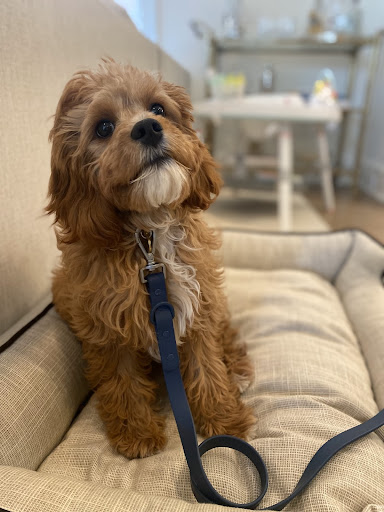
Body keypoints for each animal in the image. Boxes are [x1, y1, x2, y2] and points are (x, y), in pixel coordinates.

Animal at [47, 58, 255, 458]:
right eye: (104, 127)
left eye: (158, 108)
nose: (147, 127)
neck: (150, 236)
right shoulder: (107, 326)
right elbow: (122, 379)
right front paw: (136, 433)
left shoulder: (199, 305)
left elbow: (208, 364)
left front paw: (223, 419)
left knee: (226, 337)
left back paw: (237, 369)